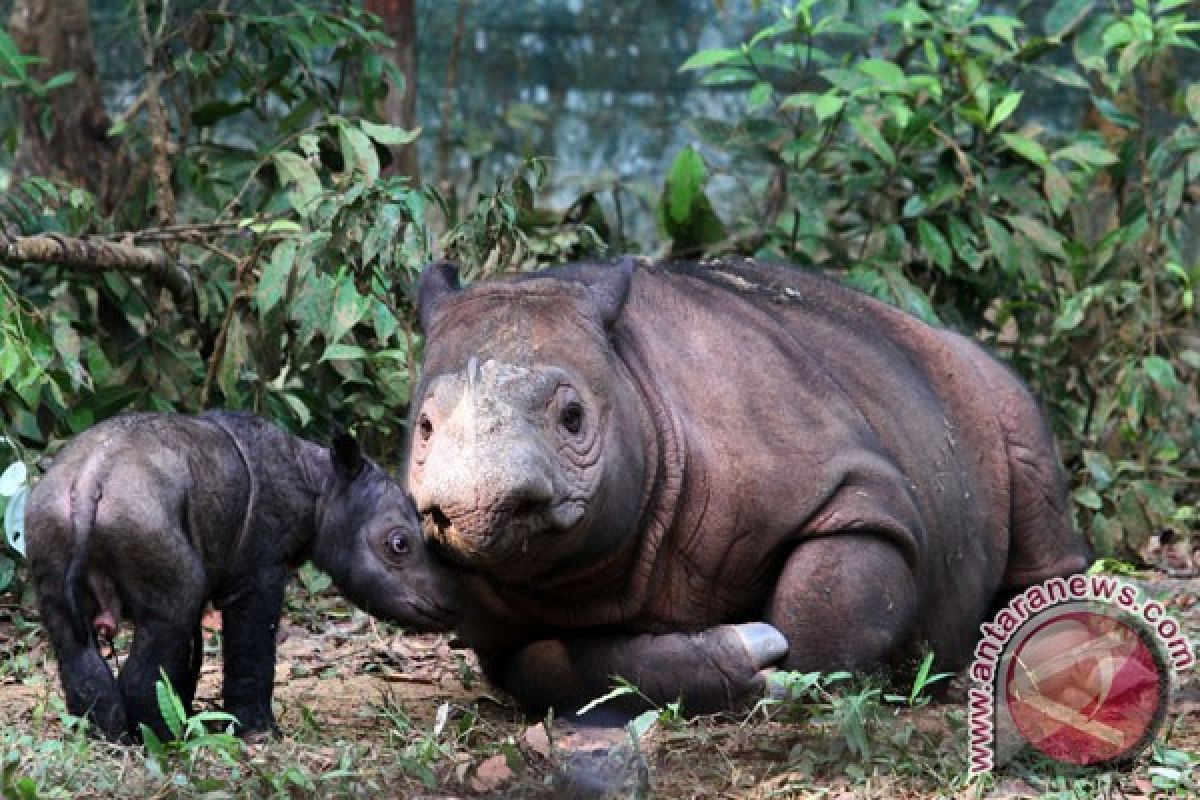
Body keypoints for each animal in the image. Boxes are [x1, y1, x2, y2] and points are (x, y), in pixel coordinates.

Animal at [29, 412, 458, 743]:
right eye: (399, 544)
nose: (449, 602)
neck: (324, 485)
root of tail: (90, 481)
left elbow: (192, 651)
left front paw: (192, 715)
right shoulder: (259, 570)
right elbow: (252, 648)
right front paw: (259, 733)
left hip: (50, 515)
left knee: (78, 639)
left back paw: (111, 739)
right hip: (140, 518)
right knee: (169, 614)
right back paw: (163, 742)